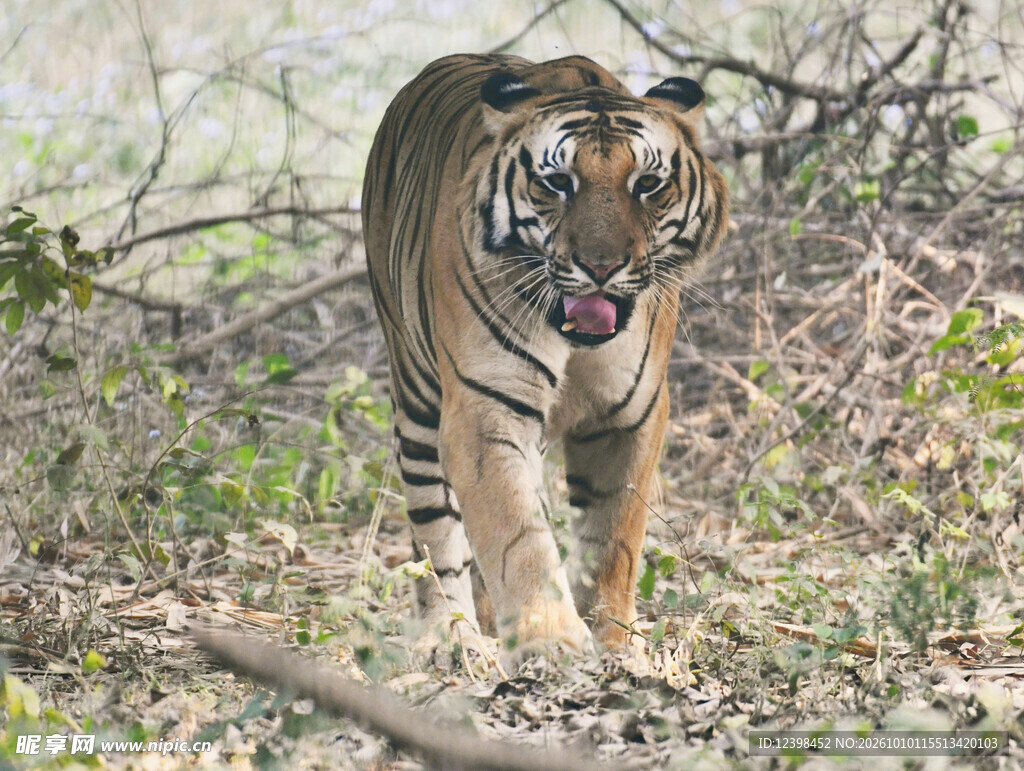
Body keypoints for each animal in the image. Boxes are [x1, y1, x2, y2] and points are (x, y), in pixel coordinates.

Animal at [362, 54, 727, 654]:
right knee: (436, 534)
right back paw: (451, 637)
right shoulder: (484, 408)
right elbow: (516, 535)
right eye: (558, 183)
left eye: (648, 184)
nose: (601, 265)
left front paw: (613, 641)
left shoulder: (633, 416)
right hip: (416, 400)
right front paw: (551, 644)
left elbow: (613, 538)